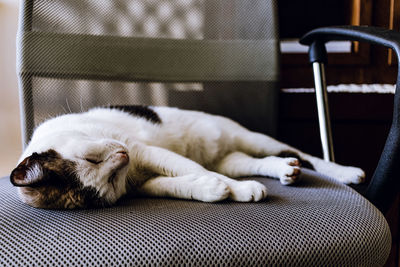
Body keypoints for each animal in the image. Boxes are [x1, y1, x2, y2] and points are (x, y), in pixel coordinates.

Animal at [9, 106, 366, 209]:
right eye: (109, 181)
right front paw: (212, 190)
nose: (122, 157)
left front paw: (237, 190)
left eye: (92, 158)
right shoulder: (144, 183)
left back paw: (346, 172)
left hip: (250, 136)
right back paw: (283, 171)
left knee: (303, 154)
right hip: (231, 157)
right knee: (251, 162)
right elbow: (177, 183)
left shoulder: (145, 151)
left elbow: (190, 169)